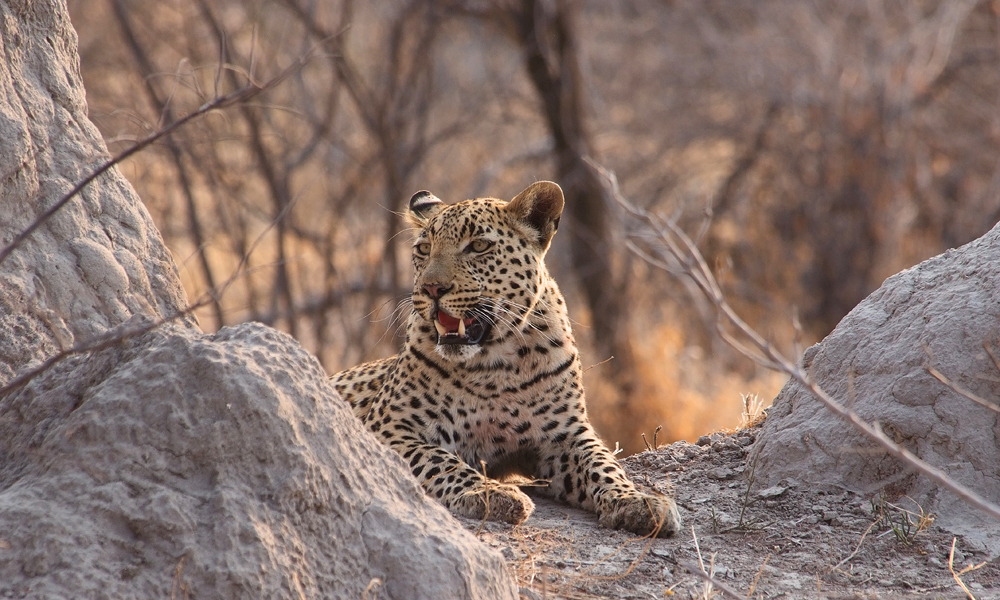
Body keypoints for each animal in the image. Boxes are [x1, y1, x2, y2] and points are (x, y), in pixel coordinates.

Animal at [332, 180, 684, 536]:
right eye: (424, 249)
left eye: (478, 246)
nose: (431, 288)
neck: (493, 366)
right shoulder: (389, 427)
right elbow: (438, 460)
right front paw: (489, 492)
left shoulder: (566, 435)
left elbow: (603, 464)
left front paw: (638, 500)